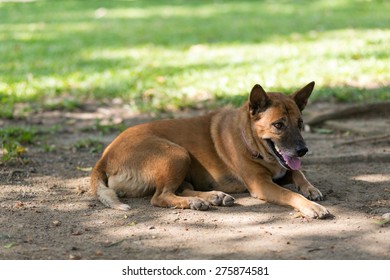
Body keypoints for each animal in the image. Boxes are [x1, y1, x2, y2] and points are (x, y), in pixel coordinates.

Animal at [90, 82, 330, 219]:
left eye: (300, 123)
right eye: (278, 125)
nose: (303, 150)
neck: (250, 140)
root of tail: (105, 156)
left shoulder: (283, 170)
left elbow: (297, 172)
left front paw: (310, 188)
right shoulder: (261, 184)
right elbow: (290, 193)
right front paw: (311, 206)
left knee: (180, 189)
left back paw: (213, 196)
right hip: (177, 154)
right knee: (160, 197)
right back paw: (195, 202)